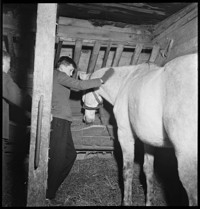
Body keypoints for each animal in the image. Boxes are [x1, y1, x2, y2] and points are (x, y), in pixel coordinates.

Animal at [79, 53, 197, 206]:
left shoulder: (125, 134)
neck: (125, 82)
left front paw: (127, 201)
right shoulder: (149, 140)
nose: (87, 119)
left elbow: (127, 170)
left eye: (83, 94)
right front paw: (149, 201)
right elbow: (148, 171)